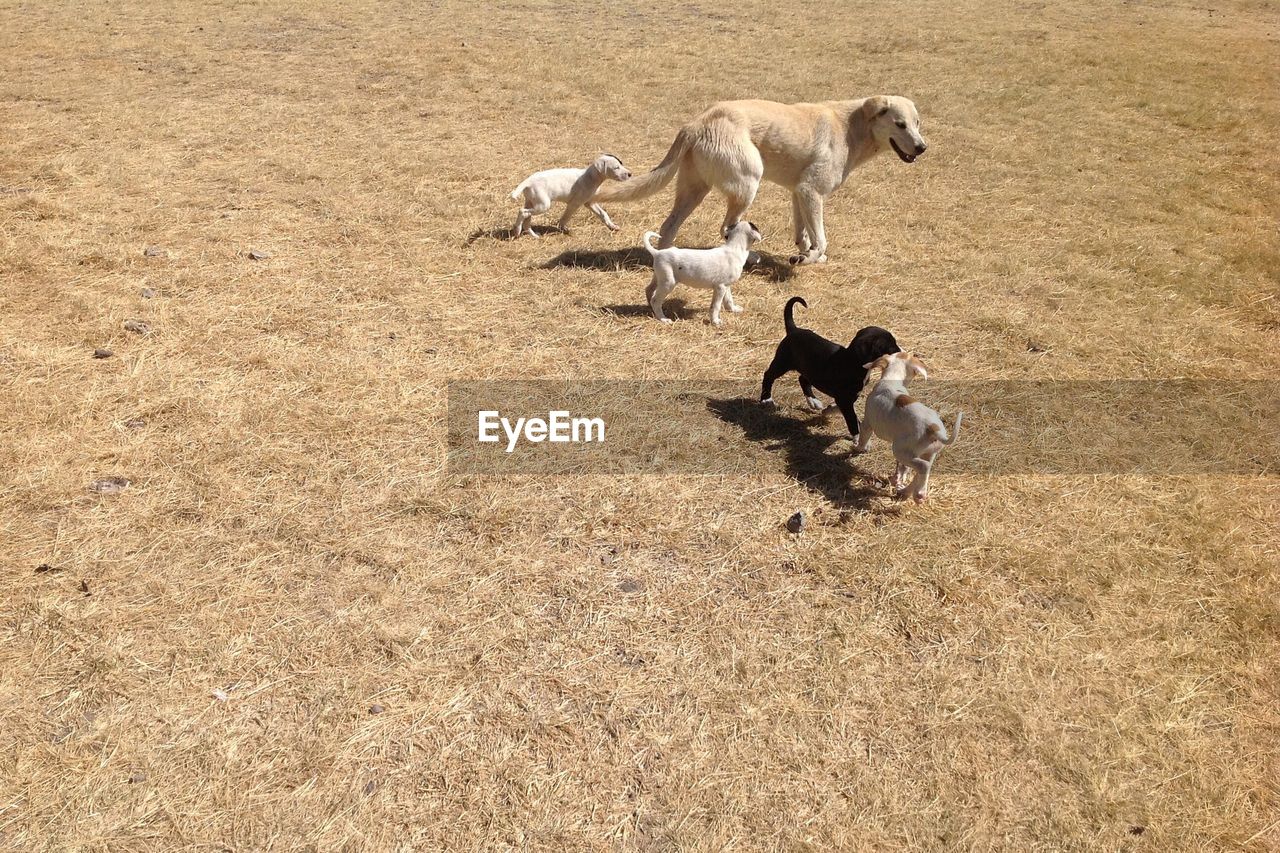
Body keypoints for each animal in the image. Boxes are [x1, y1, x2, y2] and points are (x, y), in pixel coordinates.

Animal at [593, 94, 926, 263]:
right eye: (900, 124)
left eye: (918, 123)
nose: (922, 147)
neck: (853, 126)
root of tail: (696, 123)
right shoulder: (811, 191)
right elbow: (822, 240)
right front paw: (810, 258)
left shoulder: (799, 193)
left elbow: (804, 233)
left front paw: (805, 252)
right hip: (748, 183)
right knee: (727, 228)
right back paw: (748, 257)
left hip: (694, 189)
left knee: (669, 226)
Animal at [757, 297, 901, 438]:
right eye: (890, 346)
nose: (902, 352)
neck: (853, 361)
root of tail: (794, 330)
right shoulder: (844, 398)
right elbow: (851, 418)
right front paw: (857, 437)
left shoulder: (849, 396)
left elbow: (845, 410)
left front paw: (830, 409)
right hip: (783, 362)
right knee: (768, 375)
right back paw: (766, 399)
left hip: (810, 369)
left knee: (802, 379)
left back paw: (813, 401)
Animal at [855, 350, 962, 499]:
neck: (892, 381)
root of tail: (933, 428)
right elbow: (902, 468)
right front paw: (898, 477)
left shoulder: (867, 424)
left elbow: (863, 438)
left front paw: (858, 449)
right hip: (928, 453)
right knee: (922, 470)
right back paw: (907, 491)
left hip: (900, 450)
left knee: (923, 467)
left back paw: (919, 495)